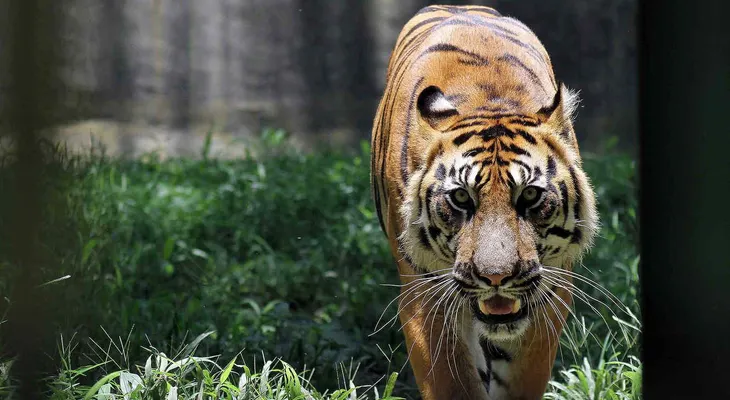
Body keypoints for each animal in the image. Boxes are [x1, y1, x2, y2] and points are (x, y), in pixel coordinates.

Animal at [370, 5, 599, 400]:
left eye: (530, 194)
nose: (495, 278)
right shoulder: (426, 295)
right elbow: (453, 384)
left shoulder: (550, 294)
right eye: (461, 197)